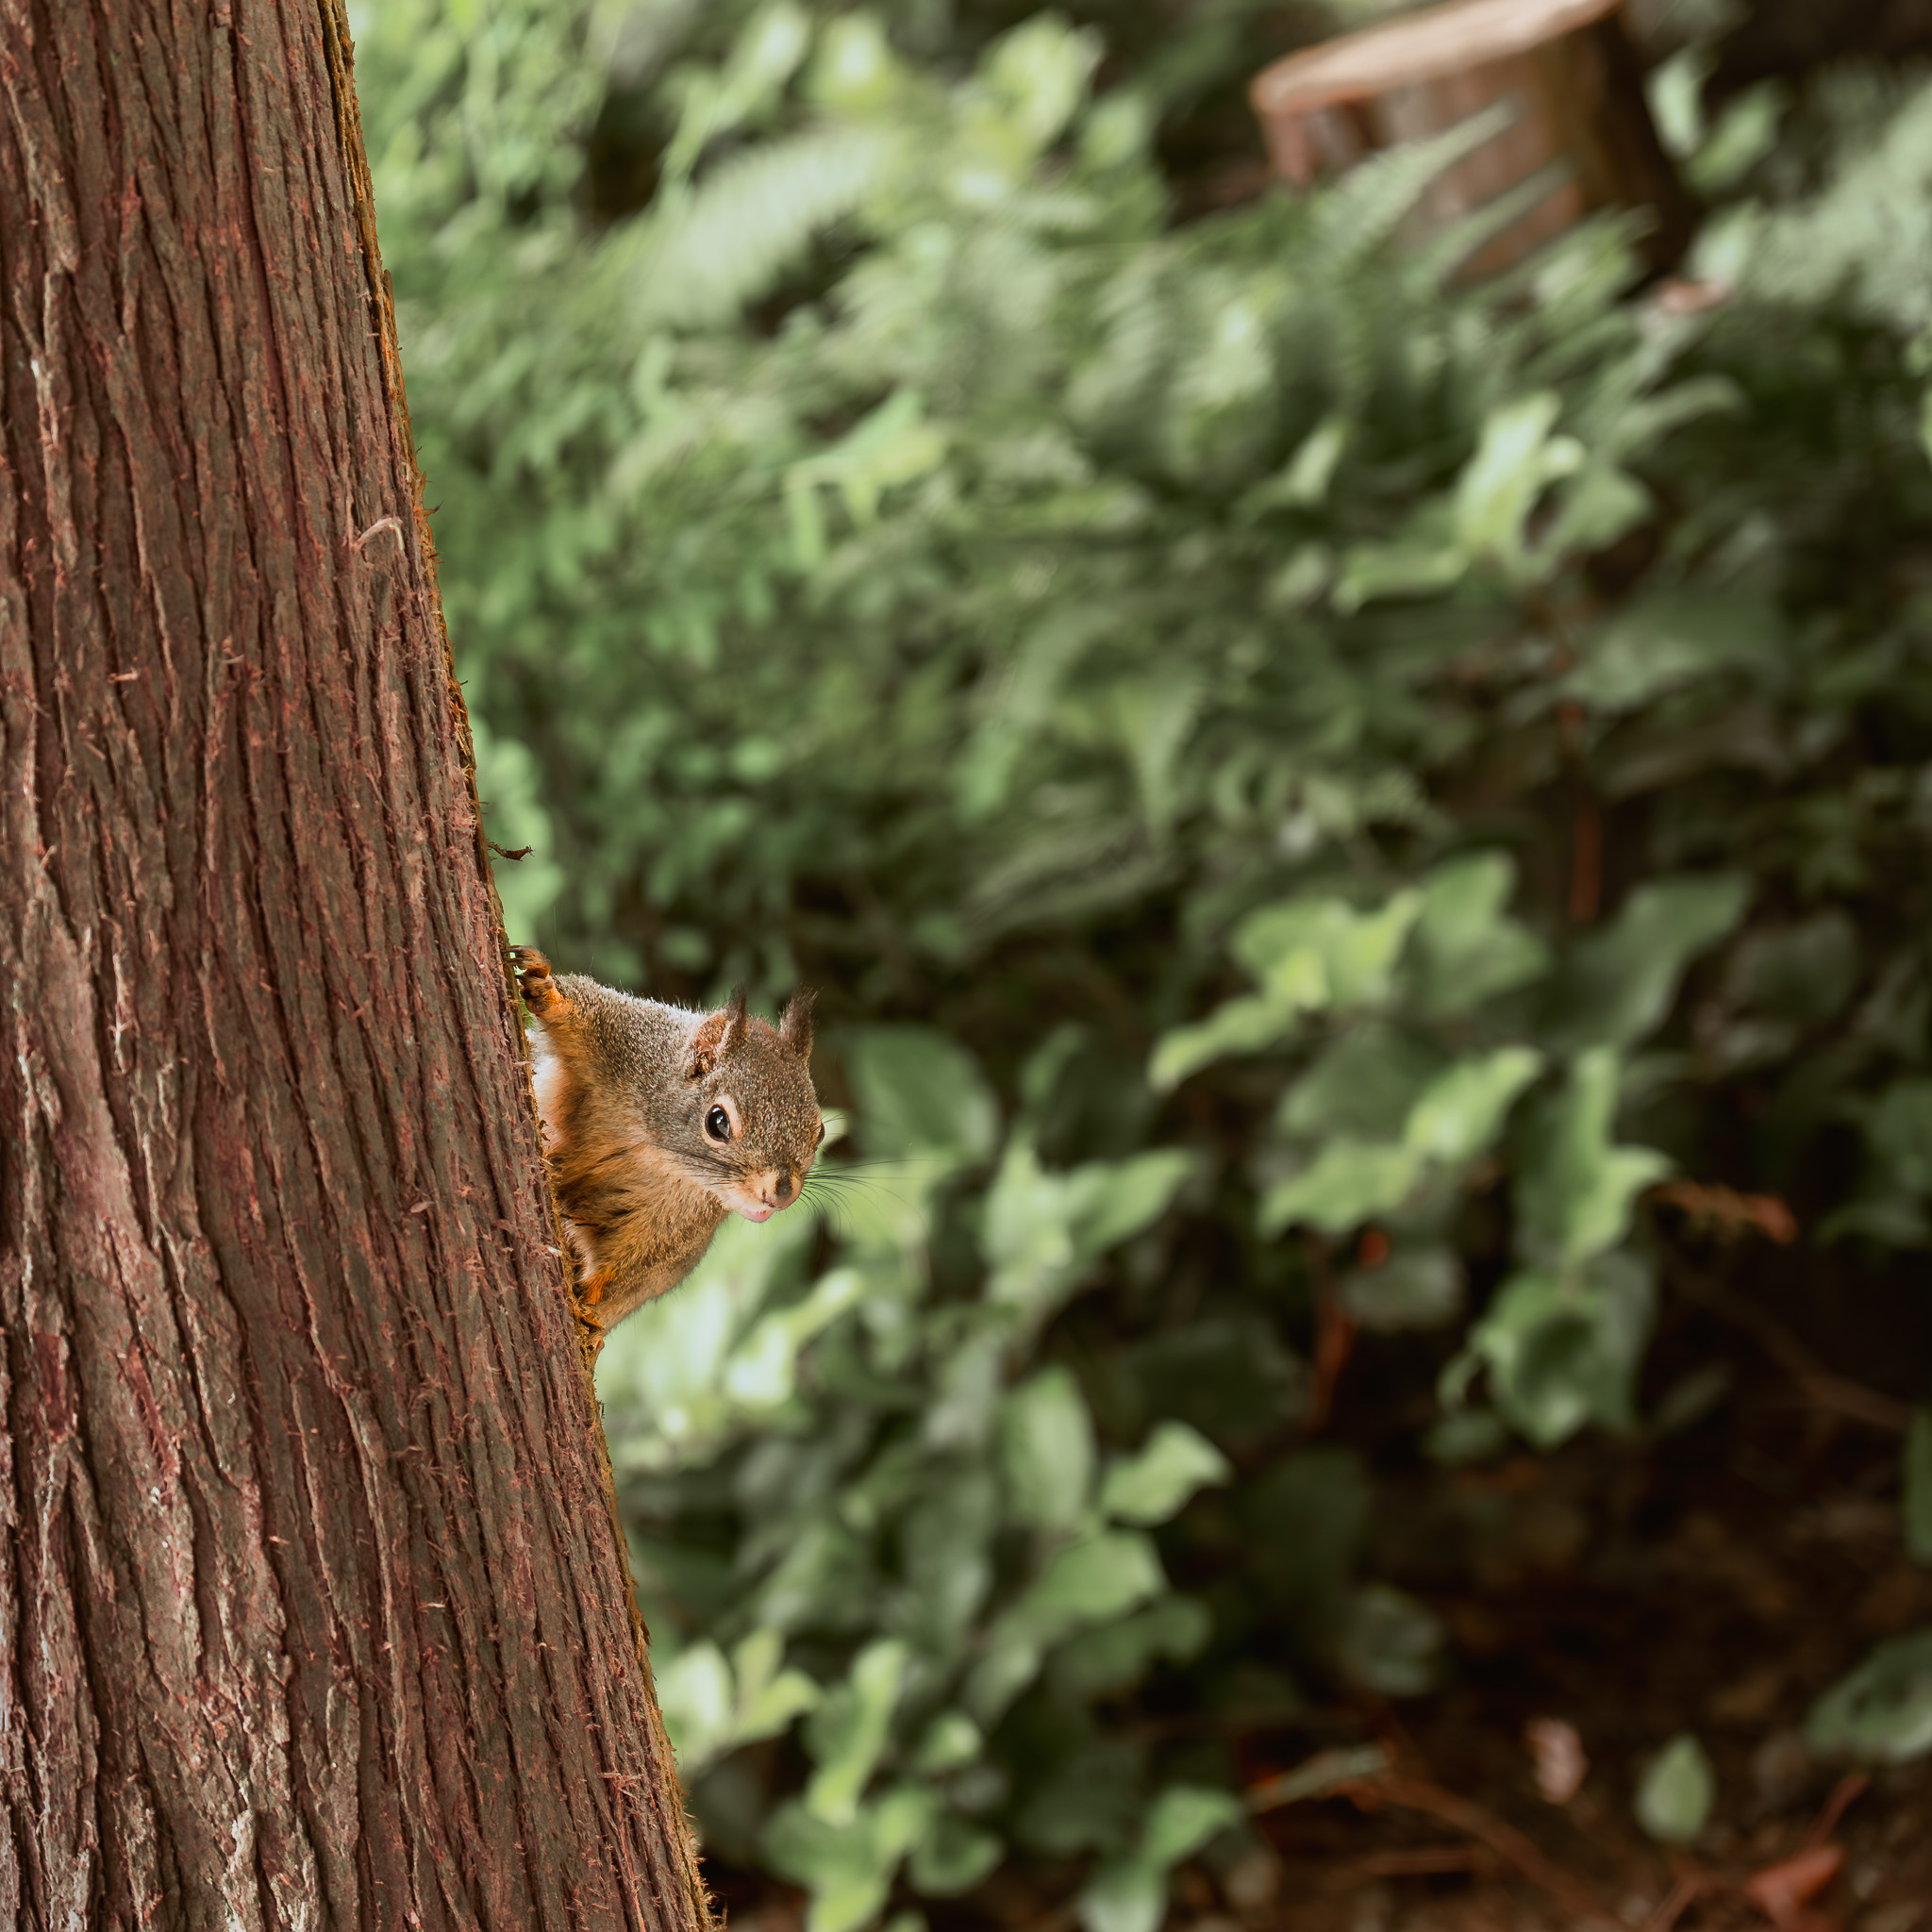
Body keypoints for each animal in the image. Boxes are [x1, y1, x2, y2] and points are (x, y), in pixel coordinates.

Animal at [509, 942, 819, 1337]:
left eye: (820, 1132)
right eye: (717, 1122)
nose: (781, 1195)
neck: (655, 1149)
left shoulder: (673, 1230)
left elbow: (631, 1270)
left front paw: (590, 1311)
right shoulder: (628, 1037)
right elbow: (582, 1005)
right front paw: (545, 988)